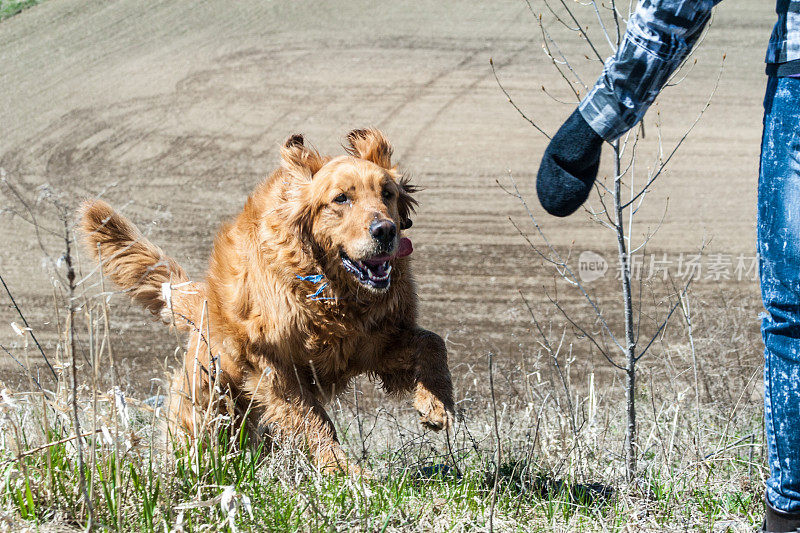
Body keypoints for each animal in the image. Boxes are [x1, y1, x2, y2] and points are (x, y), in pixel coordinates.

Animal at [83, 130, 456, 474]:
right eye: (340, 199)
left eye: (387, 194)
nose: (385, 230)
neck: (331, 290)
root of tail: (204, 297)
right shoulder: (270, 364)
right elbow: (314, 421)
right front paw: (343, 470)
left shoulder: (372, 343)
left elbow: (432, 341)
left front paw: (436, 404)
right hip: (207, 396)